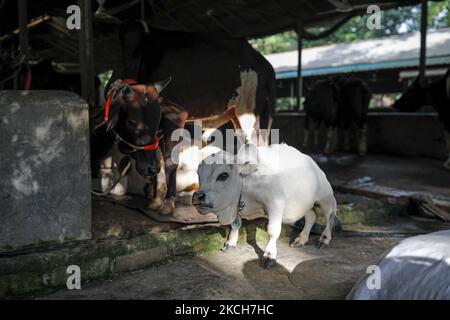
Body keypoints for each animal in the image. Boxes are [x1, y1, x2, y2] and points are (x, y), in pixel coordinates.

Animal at [103, 21, 276, 214]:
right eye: (132, 121)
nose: (150, 169)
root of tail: (267, 68)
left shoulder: (176, 114)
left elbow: (170, 160)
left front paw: (168, 203)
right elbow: (161, 159)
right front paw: (156, 201)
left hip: (250, 115)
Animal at [192, 144, 338, 268]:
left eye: (223, 175)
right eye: (198, 173)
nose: (198, 197)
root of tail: (313, 164)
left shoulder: (275, 203)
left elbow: (273, 230)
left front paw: (269, 256)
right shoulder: (237, 206)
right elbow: (235, 224)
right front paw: (231, 243)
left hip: (325, 197)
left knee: (329, 217)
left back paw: (324, 239)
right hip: (304, 203)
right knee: (311, 216)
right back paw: (301, 239)